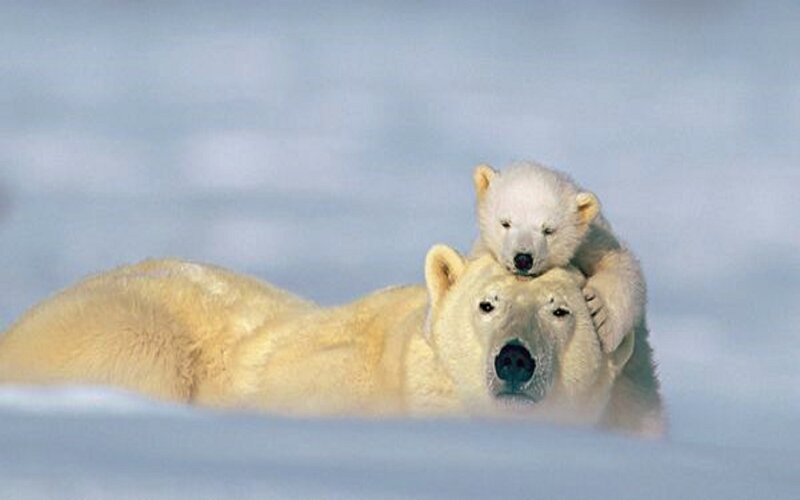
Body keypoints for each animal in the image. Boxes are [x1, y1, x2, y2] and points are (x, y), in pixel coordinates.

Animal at [472, 160, 647, 355]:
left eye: (548, 230)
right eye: (505, 223)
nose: (523, 259)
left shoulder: (592, 240)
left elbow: (621, 264)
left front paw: (599, 313)